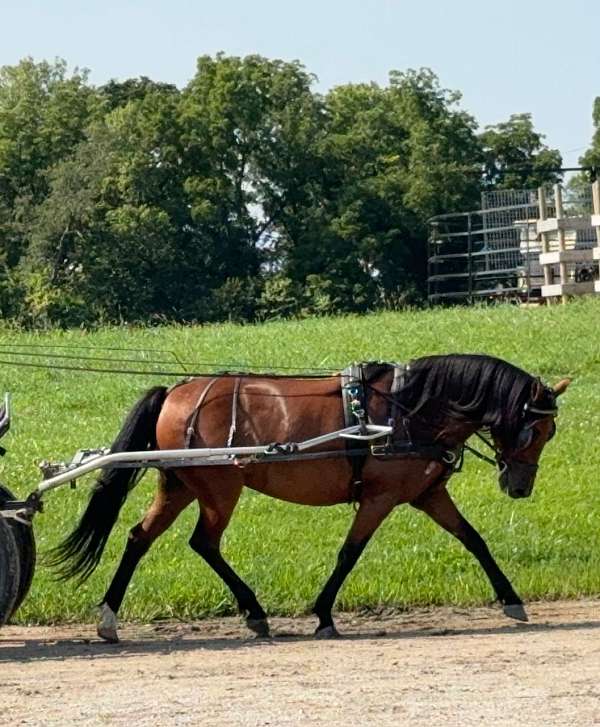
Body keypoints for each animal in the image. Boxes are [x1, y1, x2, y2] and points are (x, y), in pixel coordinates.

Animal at [49, 354, 568, 644]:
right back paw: (254, 613)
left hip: (179, 486)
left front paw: (512, 600)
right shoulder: (380, 498)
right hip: (220, 489)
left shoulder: (427, 493)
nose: (520, 487)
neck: (408, 409)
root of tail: (177, 390)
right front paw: (323, 615)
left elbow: (474, 540)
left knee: (140, 537)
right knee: (204, 543)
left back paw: (109, 619)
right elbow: (349, 553)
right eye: (537, 429)